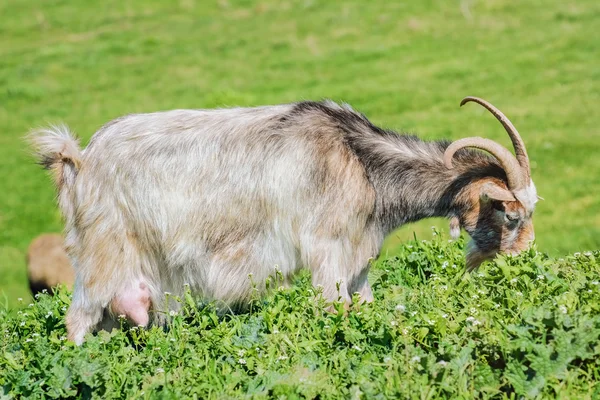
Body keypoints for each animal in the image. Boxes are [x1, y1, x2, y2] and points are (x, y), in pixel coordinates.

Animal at [28, 96, 540, 344]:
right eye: (510, 213)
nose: (525, 261)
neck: (360, 162)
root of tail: (77, 161)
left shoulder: (358, 260)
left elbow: (365, 307)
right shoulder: (327, 253)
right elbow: (334, 311)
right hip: (101, 257)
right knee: (76, 324)